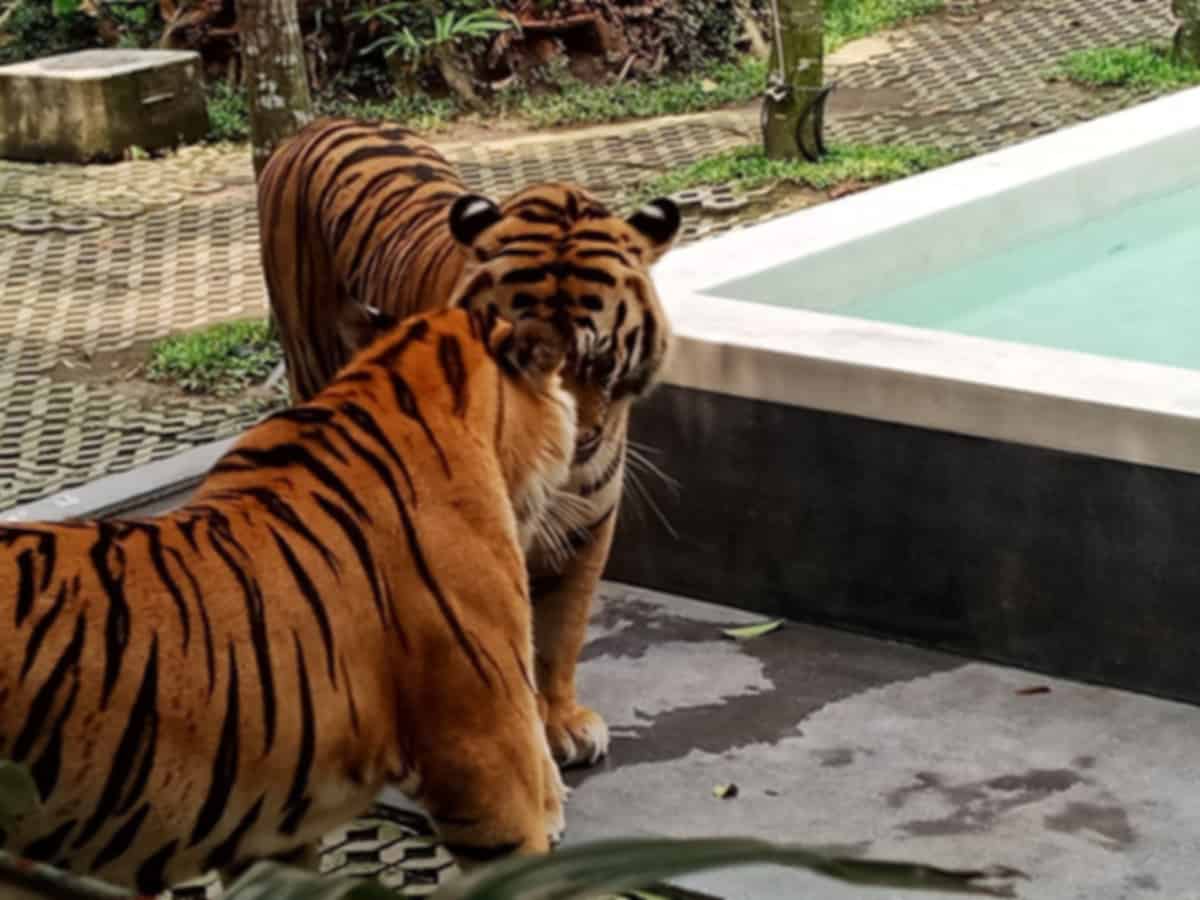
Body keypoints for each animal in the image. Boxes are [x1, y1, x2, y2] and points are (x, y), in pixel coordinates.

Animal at [257, 117, 682, 769]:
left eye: (600, 359)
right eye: (518, 357)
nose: (567, 447)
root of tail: (320, 124)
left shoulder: (591, 518)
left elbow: (562, 631)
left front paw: (563, 721)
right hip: (308, 355)